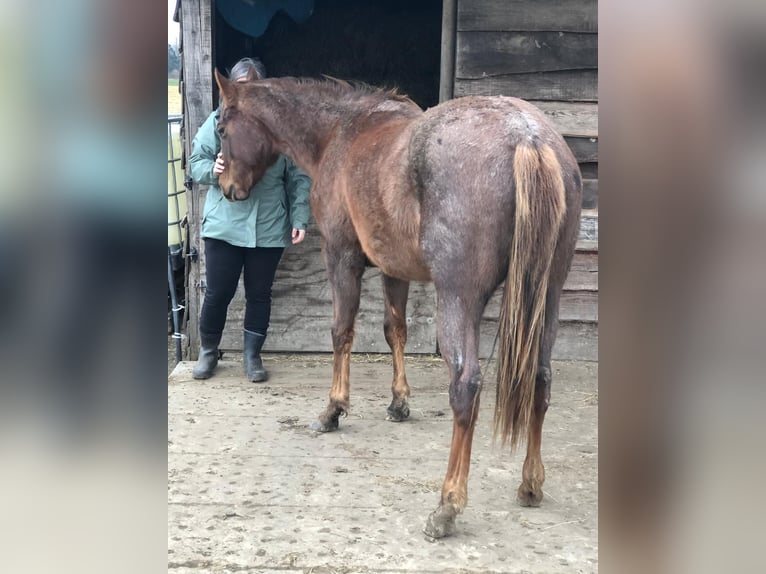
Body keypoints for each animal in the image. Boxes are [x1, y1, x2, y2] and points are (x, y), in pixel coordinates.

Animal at [210, 70, 584, 544]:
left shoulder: (342, 256)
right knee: (540, 377)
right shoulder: (394, 269)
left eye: (223, 128)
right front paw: (398, 403)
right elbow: (395, 331)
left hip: (458, 299)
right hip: (546, 295)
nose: (228, 189)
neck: (340, 132)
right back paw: (530, 483)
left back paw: (447, 506)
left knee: (466, 385)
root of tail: (527, 135)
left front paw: (333, 410)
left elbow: (342, 331)